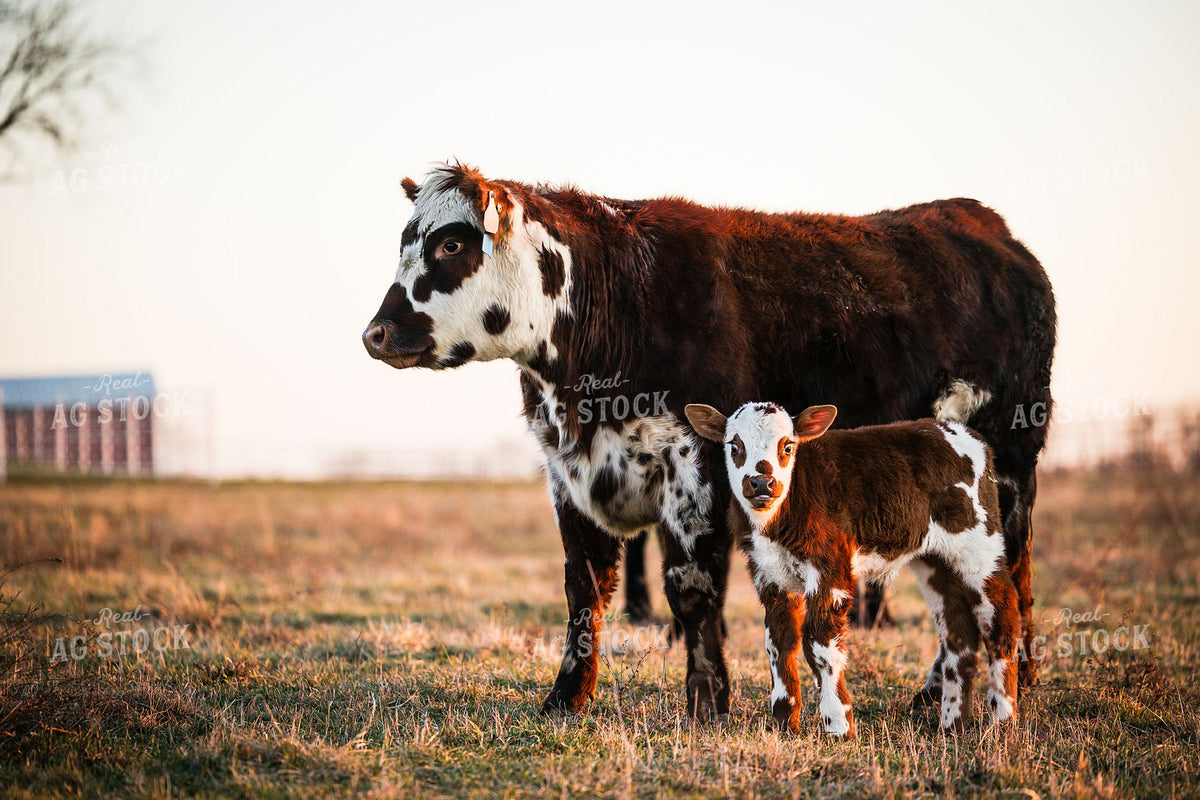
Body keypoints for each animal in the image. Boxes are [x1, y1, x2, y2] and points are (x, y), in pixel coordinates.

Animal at [685, 401, 1020, 736]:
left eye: (788, 446)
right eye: (734, 446)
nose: (761, 484)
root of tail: (964, 433)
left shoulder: (831, 568)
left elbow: (819, 642)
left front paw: (838, 724)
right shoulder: (768, 573)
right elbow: (778, 642)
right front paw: (784, 723)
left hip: (980, 546)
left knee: (1001, 618)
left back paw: (1003, 719)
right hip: (936, 562)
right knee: (957, 632)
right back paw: (952, 725)